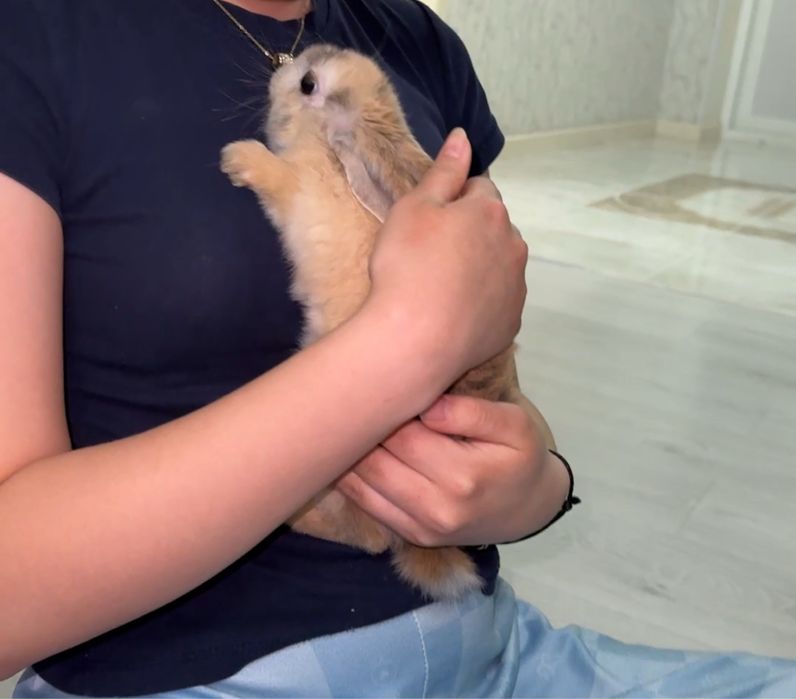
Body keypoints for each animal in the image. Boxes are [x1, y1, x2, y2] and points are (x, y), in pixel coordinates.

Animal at [220, 44, 522, 600]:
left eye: (309, 84)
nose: (279, 71)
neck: (331, 141)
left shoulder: (297, 187)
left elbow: (276, 177)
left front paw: (236, 157)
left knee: (368, 538)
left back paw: (297, 520)